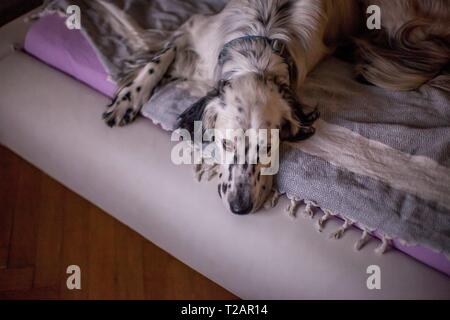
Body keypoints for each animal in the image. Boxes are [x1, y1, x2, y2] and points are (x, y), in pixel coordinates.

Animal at [102, 0, 450, 215]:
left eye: (268, 147)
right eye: (226, 144)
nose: (240, 207)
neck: (257, 46)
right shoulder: (195, 27)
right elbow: (159, 58)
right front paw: (127, 100)